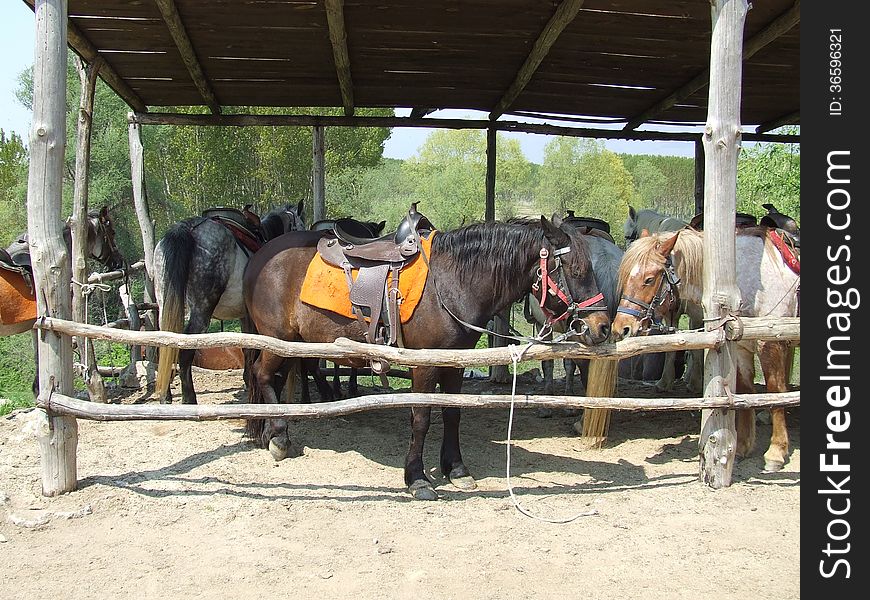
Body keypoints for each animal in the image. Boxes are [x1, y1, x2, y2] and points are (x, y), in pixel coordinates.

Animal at [244, 213, 612, 500]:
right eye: (575, 270)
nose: (602, 326)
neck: (451, 283)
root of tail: (261, 256)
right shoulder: (425, 364)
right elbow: (421, 419)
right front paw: (417, 478)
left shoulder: (455, 362)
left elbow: (452, 414)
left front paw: (457, 469)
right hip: (277, 338)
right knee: (262, 375)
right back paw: (278, 436)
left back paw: (267, 432)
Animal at [608, 227, 800, 472]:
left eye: (649, 279)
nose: (621, 328)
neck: (740, 283)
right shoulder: (741, 348)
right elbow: (746, 391)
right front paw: (743, 447)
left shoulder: (769, 344)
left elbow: (775, 391)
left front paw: (776, 452)